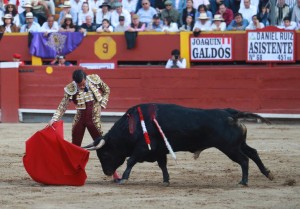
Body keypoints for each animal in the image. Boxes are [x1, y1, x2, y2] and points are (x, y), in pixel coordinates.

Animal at [82, 103, 274, 185]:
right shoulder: (159, 150)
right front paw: (166, 180)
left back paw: (244, 181)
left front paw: (123, 178)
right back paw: (268, 173)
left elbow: (130, 161)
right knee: (253, 153)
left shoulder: (143, 148)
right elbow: (163, 165)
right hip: (238, 144)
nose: (107, 172)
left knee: (244, 160)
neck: (133, 124)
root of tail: (230, 112)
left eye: (104, 153)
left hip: (230, 147)